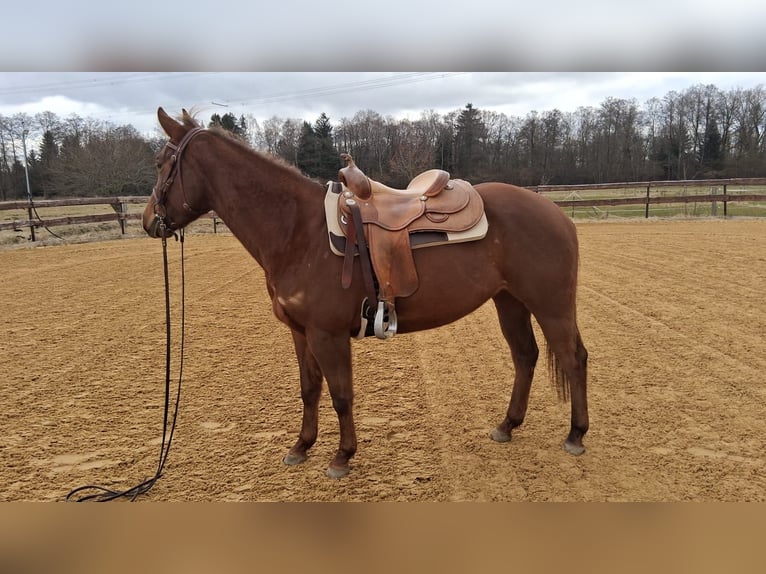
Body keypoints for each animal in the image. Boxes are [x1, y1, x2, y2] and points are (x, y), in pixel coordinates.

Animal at [143, 107, 589, 479]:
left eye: (163, 164)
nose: (149, 221)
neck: (297, 231)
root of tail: (556, 214)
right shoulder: (301, 332)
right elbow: (309, 389)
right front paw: (301, 446)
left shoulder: (328, 335)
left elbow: (341, 394)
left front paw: (342, 456)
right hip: (510, 302)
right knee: (525, 356)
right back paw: (507, 425)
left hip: (550, 305)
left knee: (573, 358)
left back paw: (576, 435)